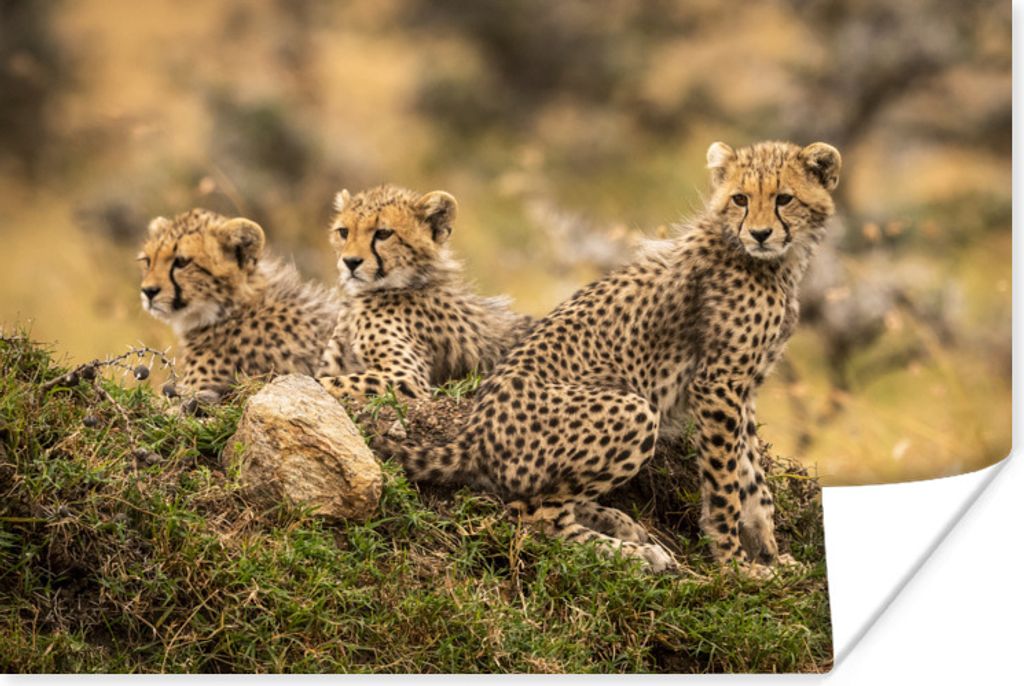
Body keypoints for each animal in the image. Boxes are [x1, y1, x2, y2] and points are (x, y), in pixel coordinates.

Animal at [375, 141, 841, 576]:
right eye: (740, 199)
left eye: (784, 198)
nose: (760, 234)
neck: (770, 262)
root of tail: (472, 436)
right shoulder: (718, 385)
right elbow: (726, 483)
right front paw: (735, 565)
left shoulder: (742, 388)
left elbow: (752, 479)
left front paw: (771, 554)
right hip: (634, 409)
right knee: (536, 515)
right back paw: (637, 554)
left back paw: (619, 524)